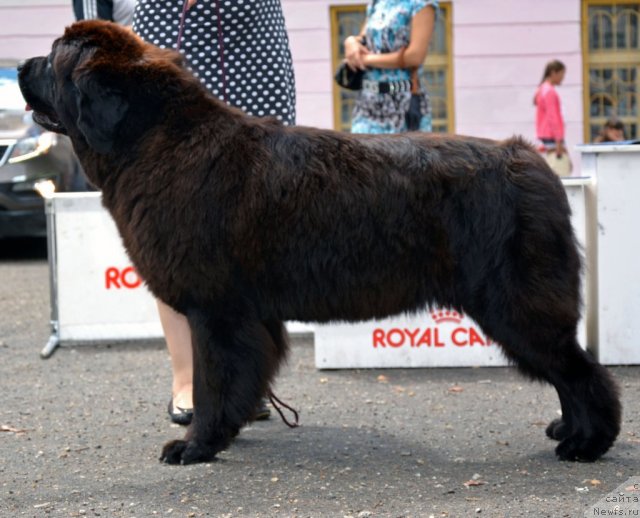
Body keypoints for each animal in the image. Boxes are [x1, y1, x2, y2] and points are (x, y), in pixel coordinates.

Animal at [18, 21, 620, 468]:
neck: (156, 140)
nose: (21, 65)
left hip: (517, 306)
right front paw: (227, 431)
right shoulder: (246, 315)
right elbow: (242, 378)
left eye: (52, 59)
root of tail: (531, 160)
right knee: (570, 371)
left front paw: (196, 446)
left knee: (582, 372)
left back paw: (587, 443)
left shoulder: (215, 310)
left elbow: (214, 381)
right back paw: (567, 429)